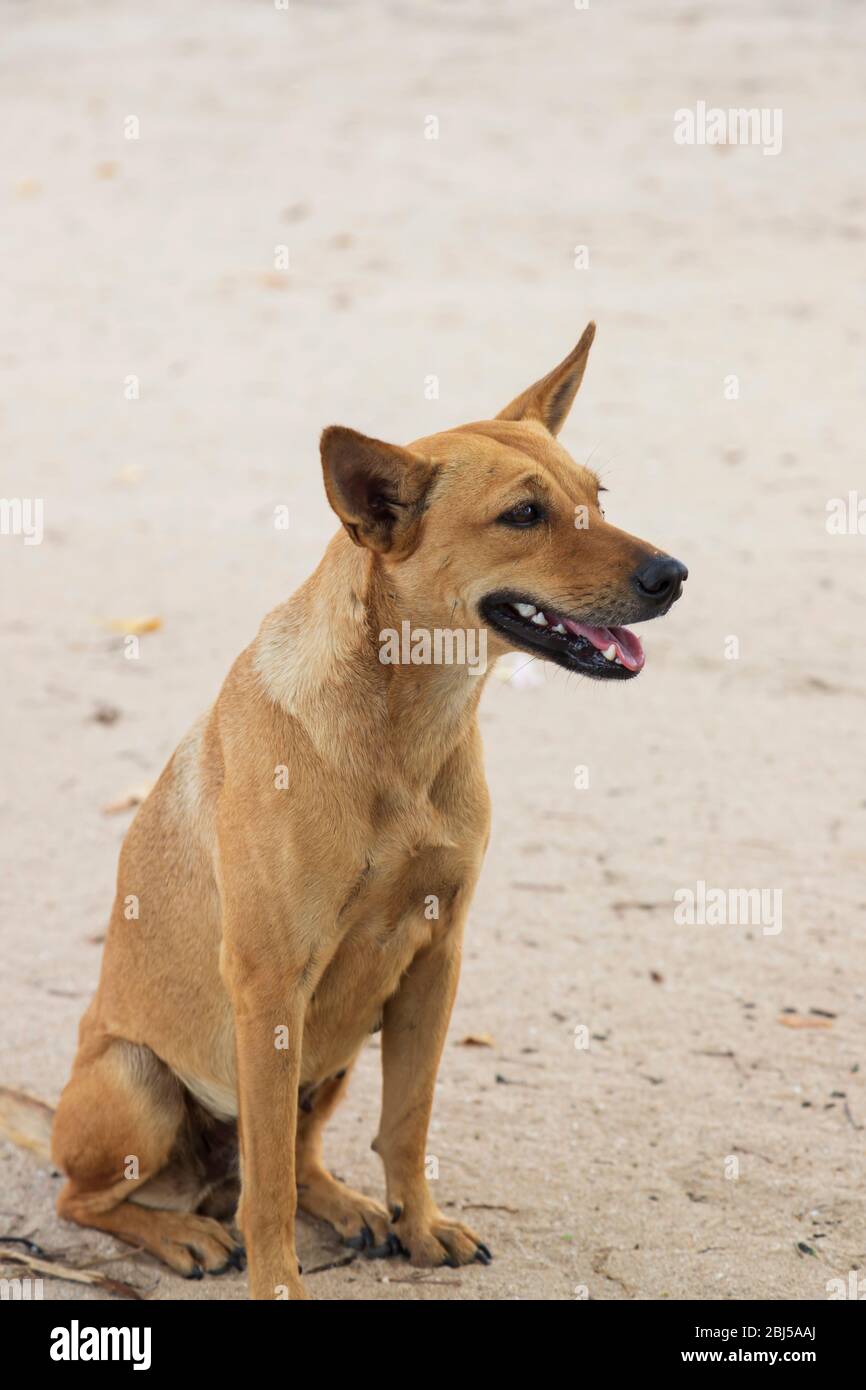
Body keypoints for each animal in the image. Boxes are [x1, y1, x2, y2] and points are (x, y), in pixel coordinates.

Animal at [52, 319, 692, 1295]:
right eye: (525, 516)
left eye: (598, 496)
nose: (674, 574)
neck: (405, 727)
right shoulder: (270, 985)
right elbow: (269, 1189)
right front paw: (278, 1283)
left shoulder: (435, 959)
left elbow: (406, 1124)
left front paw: (417, 1224)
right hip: (139, 1081)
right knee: (100, 1197)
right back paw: (182, 1234)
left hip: (337, 1054)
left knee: (295, 1155)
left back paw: (348, 1207)